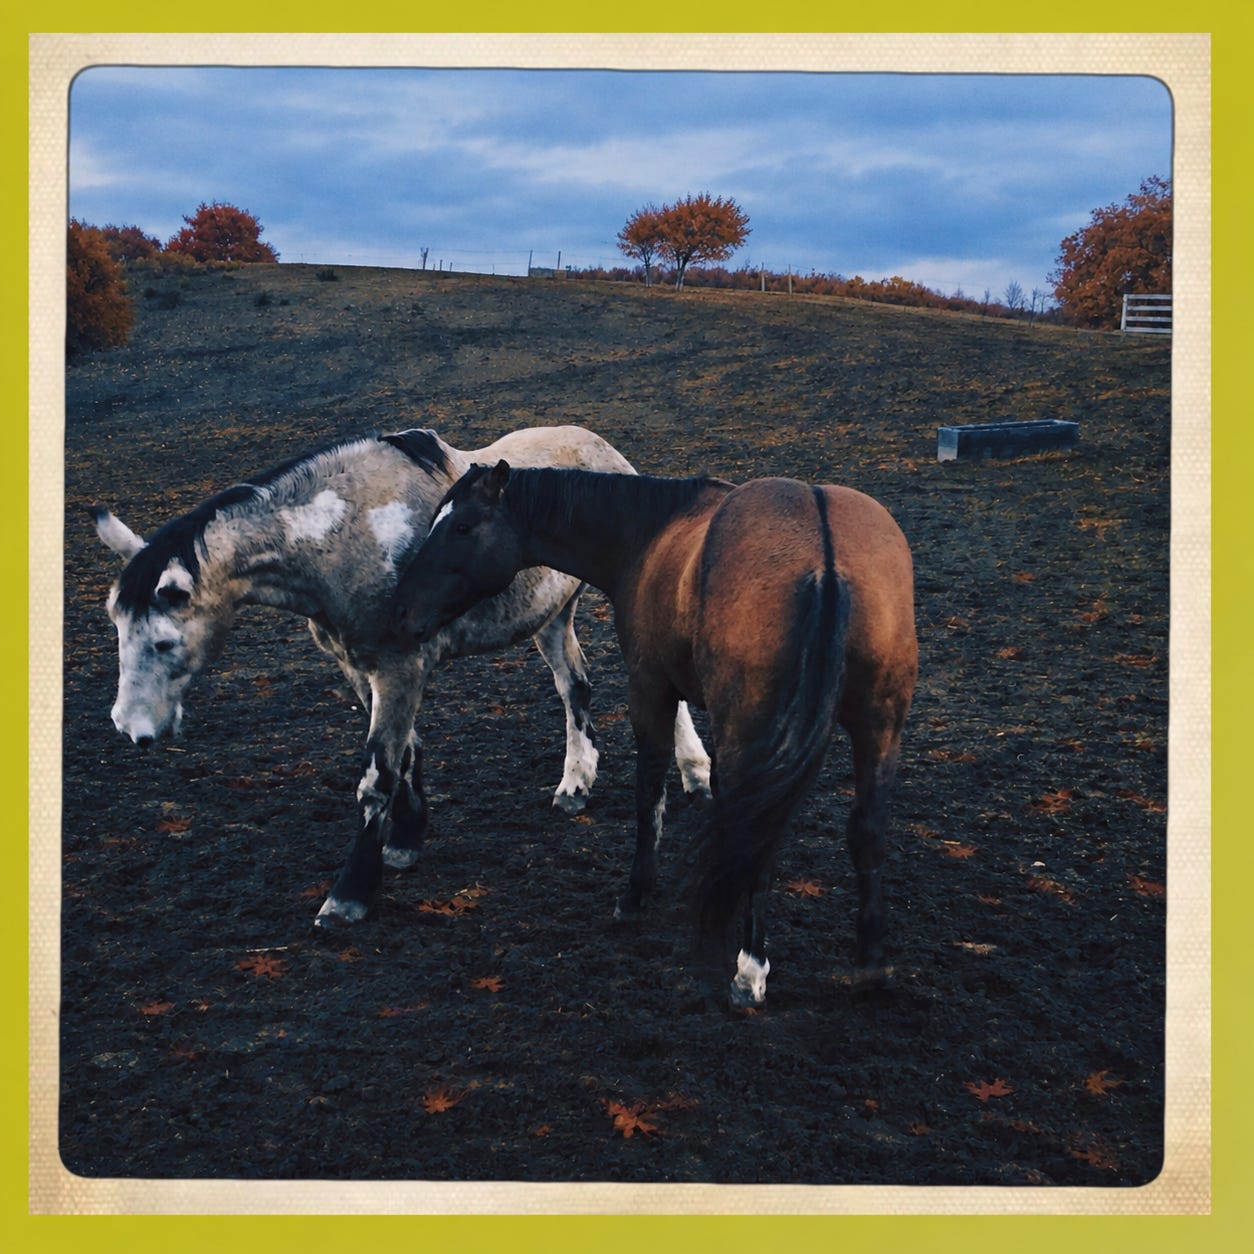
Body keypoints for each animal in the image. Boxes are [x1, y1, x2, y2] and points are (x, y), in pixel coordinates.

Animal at [93, 426, 712, 929]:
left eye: (163, 641)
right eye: (116, 625)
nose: (130, 728)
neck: (342, 537)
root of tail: (605, 450)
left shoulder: (398, 668)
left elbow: (377, 776)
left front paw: (350, 894)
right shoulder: (359, 667)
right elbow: (406, 751)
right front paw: (408, 839)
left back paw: (694, 772)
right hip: (550, 617)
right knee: (574, 687)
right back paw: (576, 782)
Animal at [391, 462, 916, 1006]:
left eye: (463, 527)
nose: (401, 610)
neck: (649, 532)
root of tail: (825, 552)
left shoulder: (649, 689)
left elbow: (650, 792)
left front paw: (636, 894)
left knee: (756, 838)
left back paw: (749, 969)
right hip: (878, 727)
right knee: (865, 831)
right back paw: (870, 962)